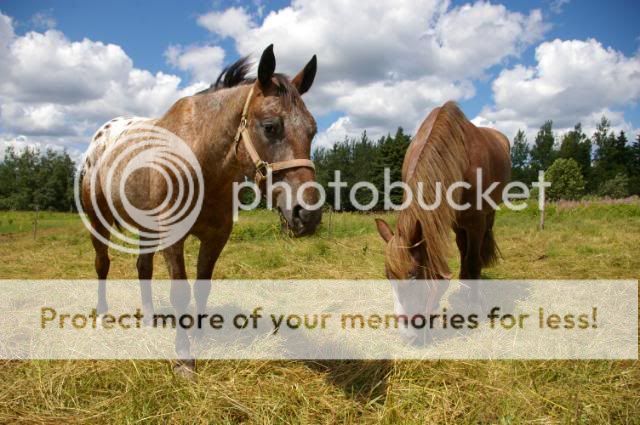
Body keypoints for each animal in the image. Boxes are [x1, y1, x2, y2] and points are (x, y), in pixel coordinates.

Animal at [79, 44, 320, 372]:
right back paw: (102, 313)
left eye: (313, 130)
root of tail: (100, 139)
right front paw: (184, 357)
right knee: (102, 264)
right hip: (98, 222)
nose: (307, 214)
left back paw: (150, 317)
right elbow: (180, 293)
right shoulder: (172, 237)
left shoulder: (216, 237)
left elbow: (201, 287)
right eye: (270, 127)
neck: (202, 162)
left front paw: (201, 337)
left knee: (143, 268)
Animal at [376, 101, 510, 340]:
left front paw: (474, 305)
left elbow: (474, 262)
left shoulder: (476, 222)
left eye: (413, 276)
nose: (407, 335)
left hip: (488, 215)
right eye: (388, 276)